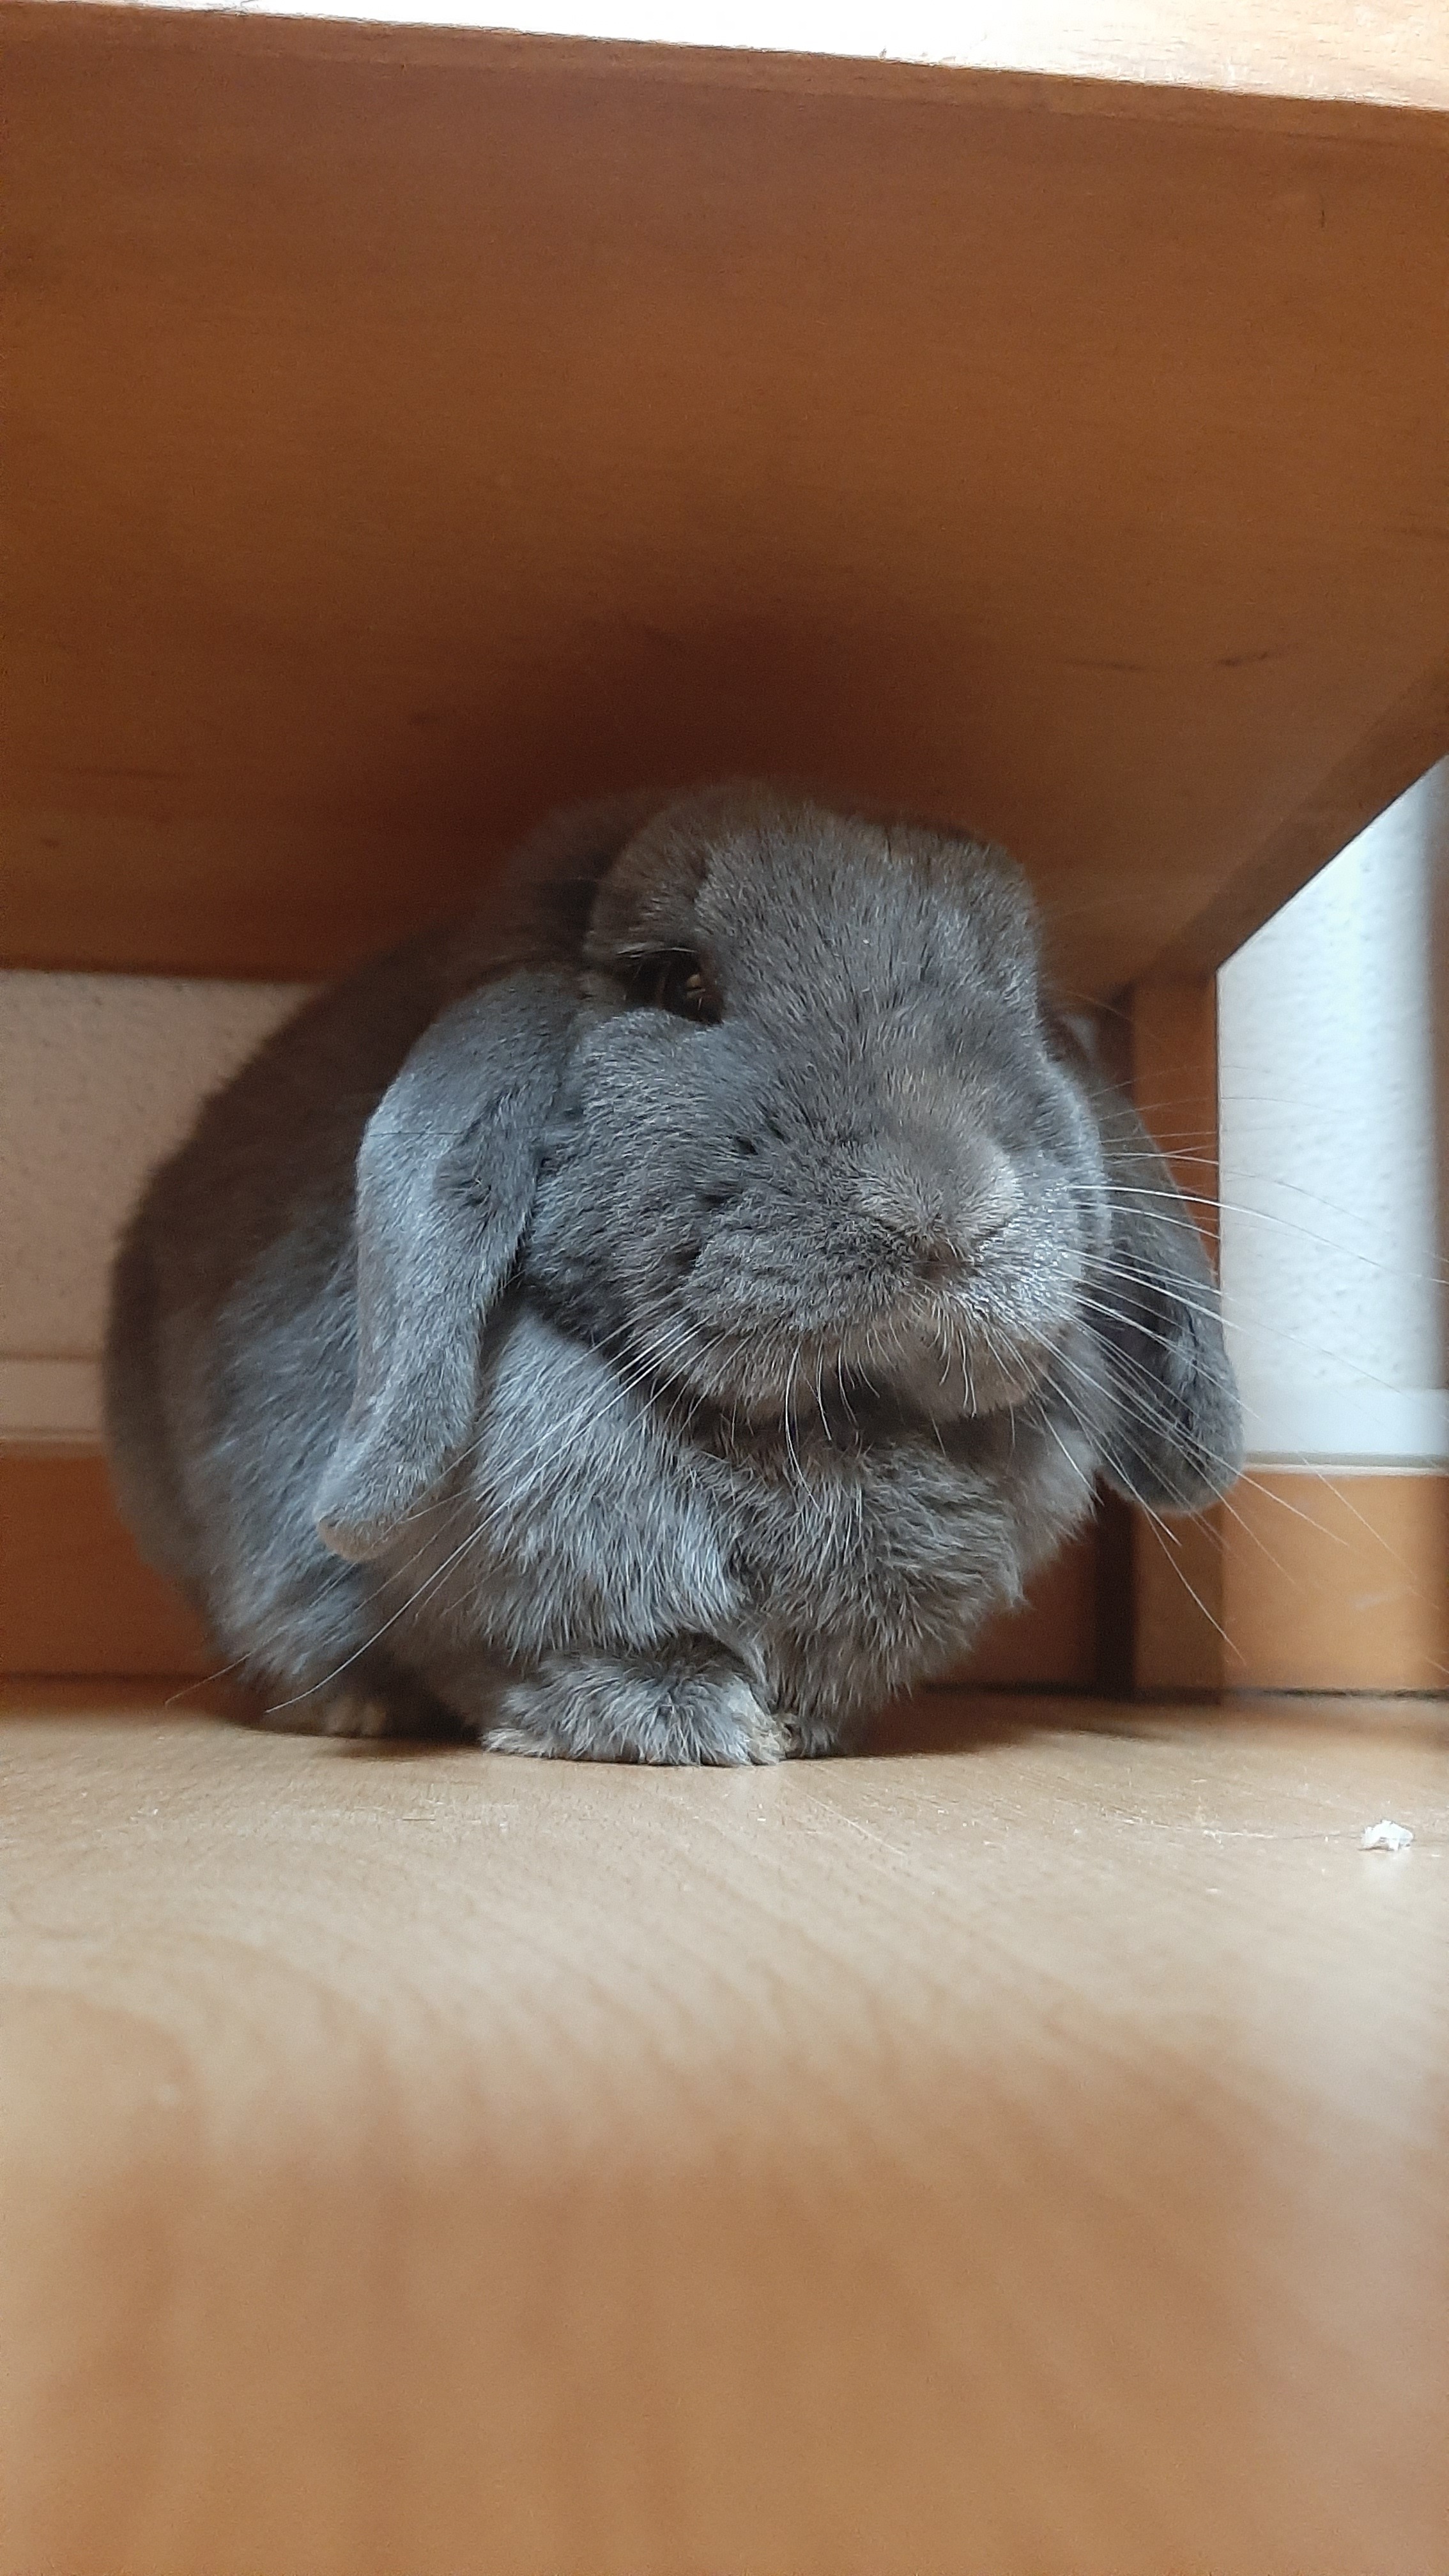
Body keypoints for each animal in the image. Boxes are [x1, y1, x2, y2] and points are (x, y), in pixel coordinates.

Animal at [104, 783, 1242, 1763]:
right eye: (675, 984)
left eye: (1024, 1009)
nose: (948, 1205)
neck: (824, 1427)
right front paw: (678, 1721)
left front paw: (805, 1730)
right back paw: (351, 1706)